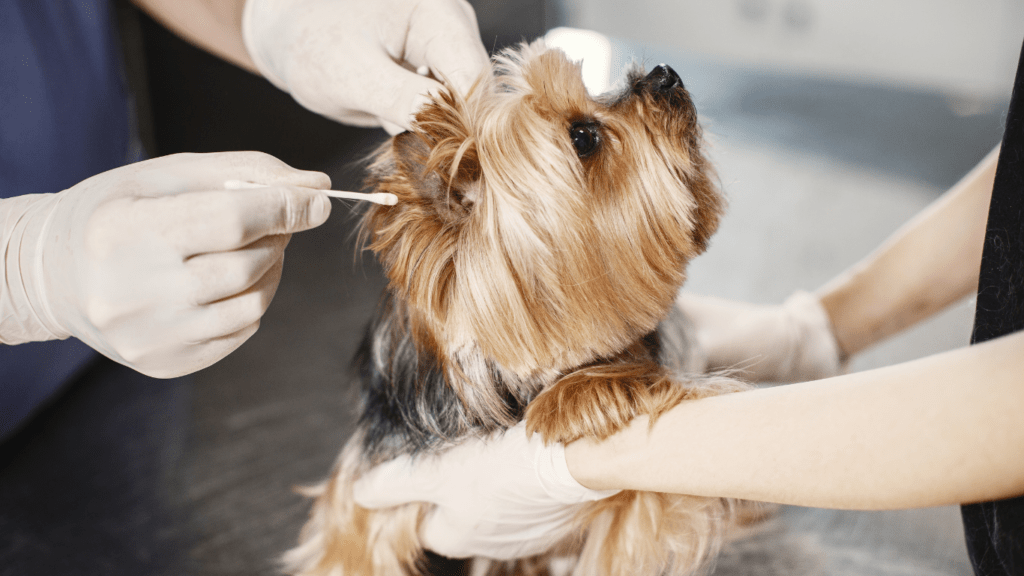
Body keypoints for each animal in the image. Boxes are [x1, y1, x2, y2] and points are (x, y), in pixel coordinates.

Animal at [284, 40, 749, 573]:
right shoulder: (367, 487)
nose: (664, 74)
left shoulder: (643, 499)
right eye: (583, 137)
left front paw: (582, 395)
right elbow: (351, 547)